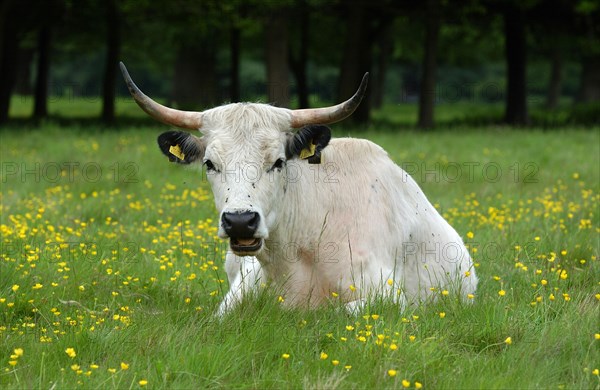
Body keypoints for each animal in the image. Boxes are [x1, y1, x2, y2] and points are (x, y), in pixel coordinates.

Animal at [120, 62, 478, 316]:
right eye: (210, 163)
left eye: (278, 162)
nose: (240, 222)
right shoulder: (239, 290)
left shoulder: (387, 294)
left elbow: (342, 312)